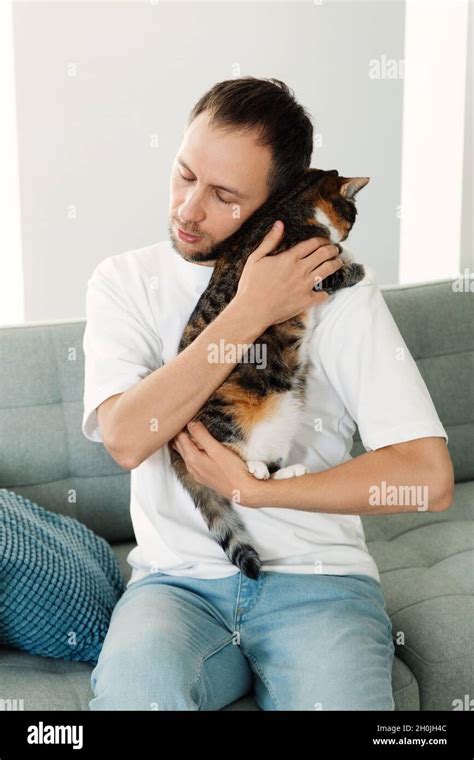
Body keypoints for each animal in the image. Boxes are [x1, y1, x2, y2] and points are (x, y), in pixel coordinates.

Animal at [168, 169, 368, 580]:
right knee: (237, 461)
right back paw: (256, 468)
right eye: (354, 215)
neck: (290, 205)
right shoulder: (308, 270)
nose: (347, 235)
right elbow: (336, 269)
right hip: (230, 410)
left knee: (270, 466)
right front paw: (352, 261)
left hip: (286, 415)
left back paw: (287, 472)